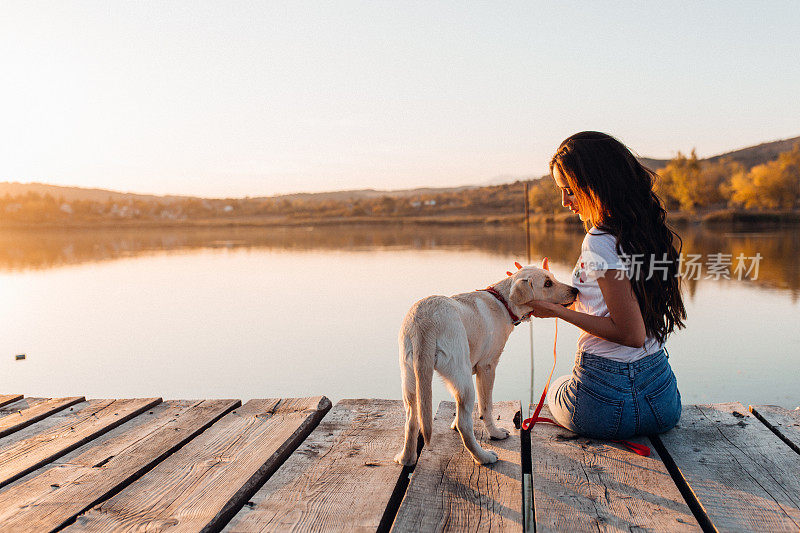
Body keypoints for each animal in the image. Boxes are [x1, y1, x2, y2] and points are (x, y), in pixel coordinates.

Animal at [392, 258, 576, 466]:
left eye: (552, 278)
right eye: (547, 283)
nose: (575, 291)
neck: (503, 302)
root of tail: (425, 320)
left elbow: (460, 407)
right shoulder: (487, 367)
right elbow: (486, 406)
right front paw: (495, 433)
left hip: (411, 378)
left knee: (411, 419)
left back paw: (405, 458)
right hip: (462, 374)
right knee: (465, 425)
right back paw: (484, 457)